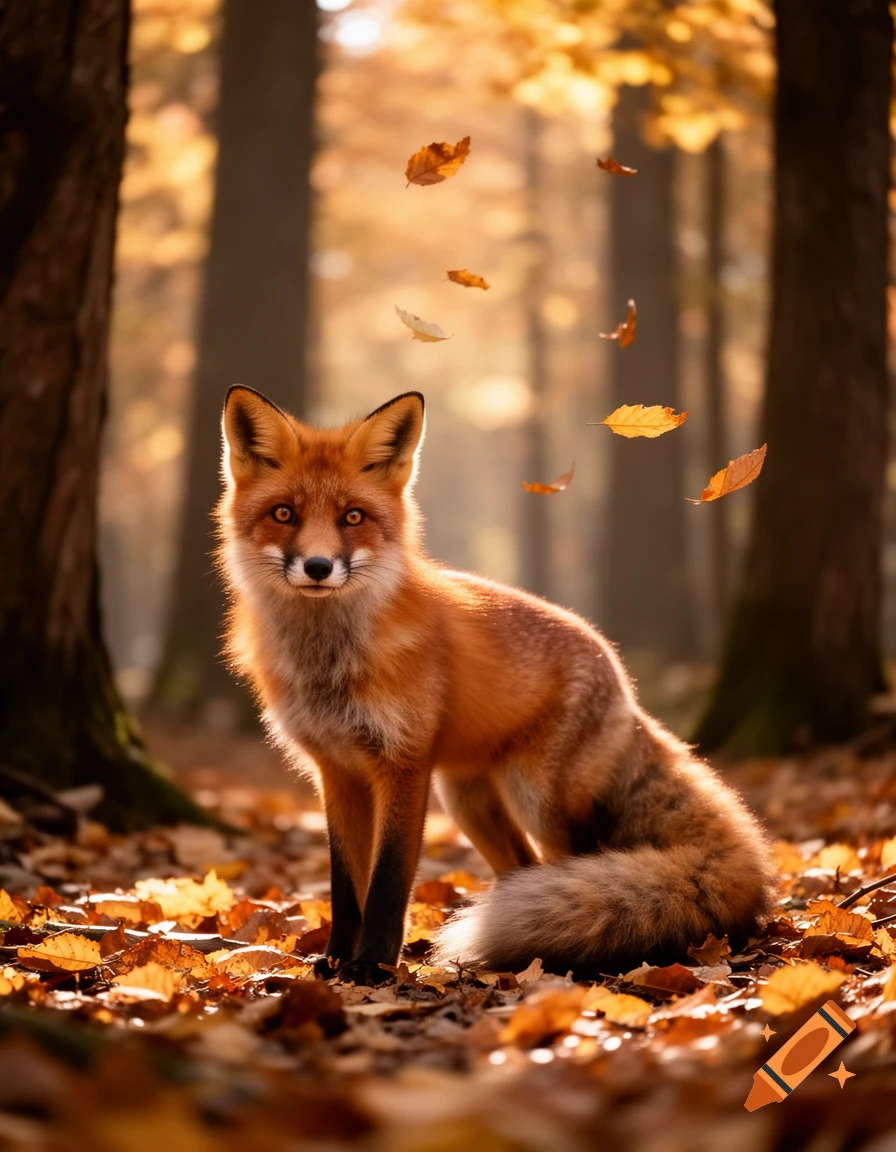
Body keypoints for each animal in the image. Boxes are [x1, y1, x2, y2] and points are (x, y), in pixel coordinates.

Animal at [218, 385, 776, 985]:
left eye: (352, 517)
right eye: (284, 513)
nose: (319, 566)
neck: (328, 666)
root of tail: (624, 683)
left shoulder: (404, 765)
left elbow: (388, 880)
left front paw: (373, 966)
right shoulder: (336, 771)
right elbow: (346, 884)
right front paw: (338, 959)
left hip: (536, 798)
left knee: (579, 861)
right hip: (469, 803)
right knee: (527, 871)